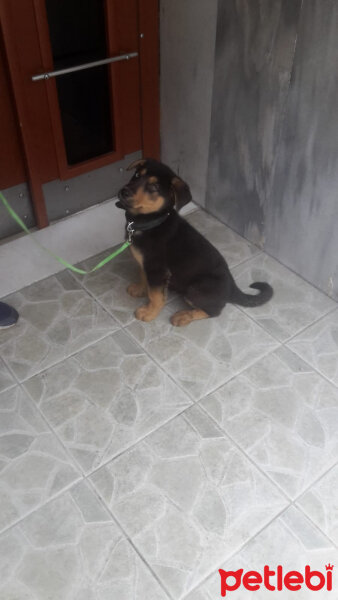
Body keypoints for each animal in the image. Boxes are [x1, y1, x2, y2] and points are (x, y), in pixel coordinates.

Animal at [116, 159, 272, 326]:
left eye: (153, 188)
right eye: (137, 175)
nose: (124, 191)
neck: (152, 221)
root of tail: (232, 287)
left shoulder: (158, 270)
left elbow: (156, 295)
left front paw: (149, 313)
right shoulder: (146, 266)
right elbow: (143, 277)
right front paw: (140, 289)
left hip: (194, 289)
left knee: (214, 311)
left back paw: (183, 316)